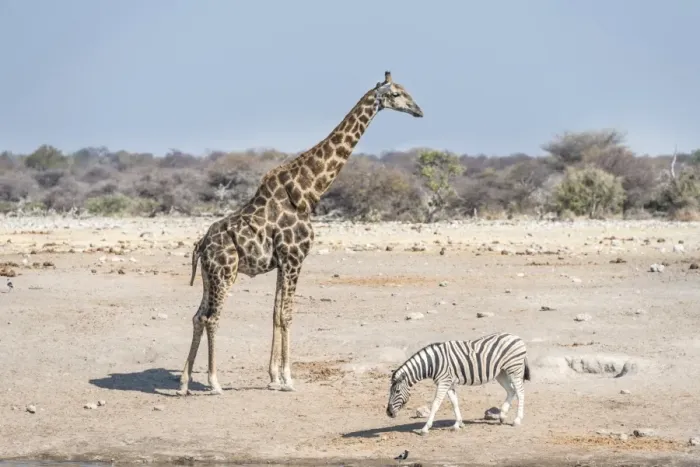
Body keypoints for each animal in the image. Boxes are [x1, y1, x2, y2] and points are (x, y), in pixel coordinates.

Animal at [177, 71, 423, 395]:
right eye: (396, 94)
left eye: (406, 91)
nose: (419, 111)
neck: (309, 191)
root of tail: (201, 244)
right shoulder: (295, 258)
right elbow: (287, 314)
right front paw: (288, 379)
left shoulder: (283, 262)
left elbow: (275, 313)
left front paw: (273, 377)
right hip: (225, 272)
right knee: (212, 317)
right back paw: (214, 382)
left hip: (208, 276)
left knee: (196, 316)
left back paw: (184, 381)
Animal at [386, 332, 531, 435]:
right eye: (389, 391)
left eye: (397, 391)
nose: (388, 413)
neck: (433, 363)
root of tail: (517, 337)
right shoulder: (449, 383)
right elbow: (454, 402)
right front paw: (458, 424)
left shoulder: (443, 382)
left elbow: (435, 404)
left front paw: (425, 428)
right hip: (501, 372)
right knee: (511, 391)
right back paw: (502, 416)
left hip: (514, 369)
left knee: (520, 392)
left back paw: (517, 420)